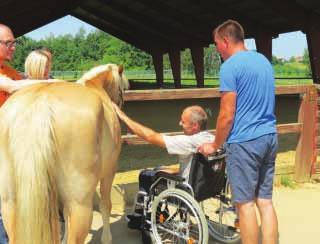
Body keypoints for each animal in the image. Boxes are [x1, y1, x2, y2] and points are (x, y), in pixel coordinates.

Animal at [0, 63, 129, 244]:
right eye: (122, 88)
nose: (120, 104)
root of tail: (41, 102)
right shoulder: (109, 172)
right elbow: (105, 205)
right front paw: (107, 238)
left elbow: (66, 216)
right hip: (80, 203)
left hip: (9, 203)